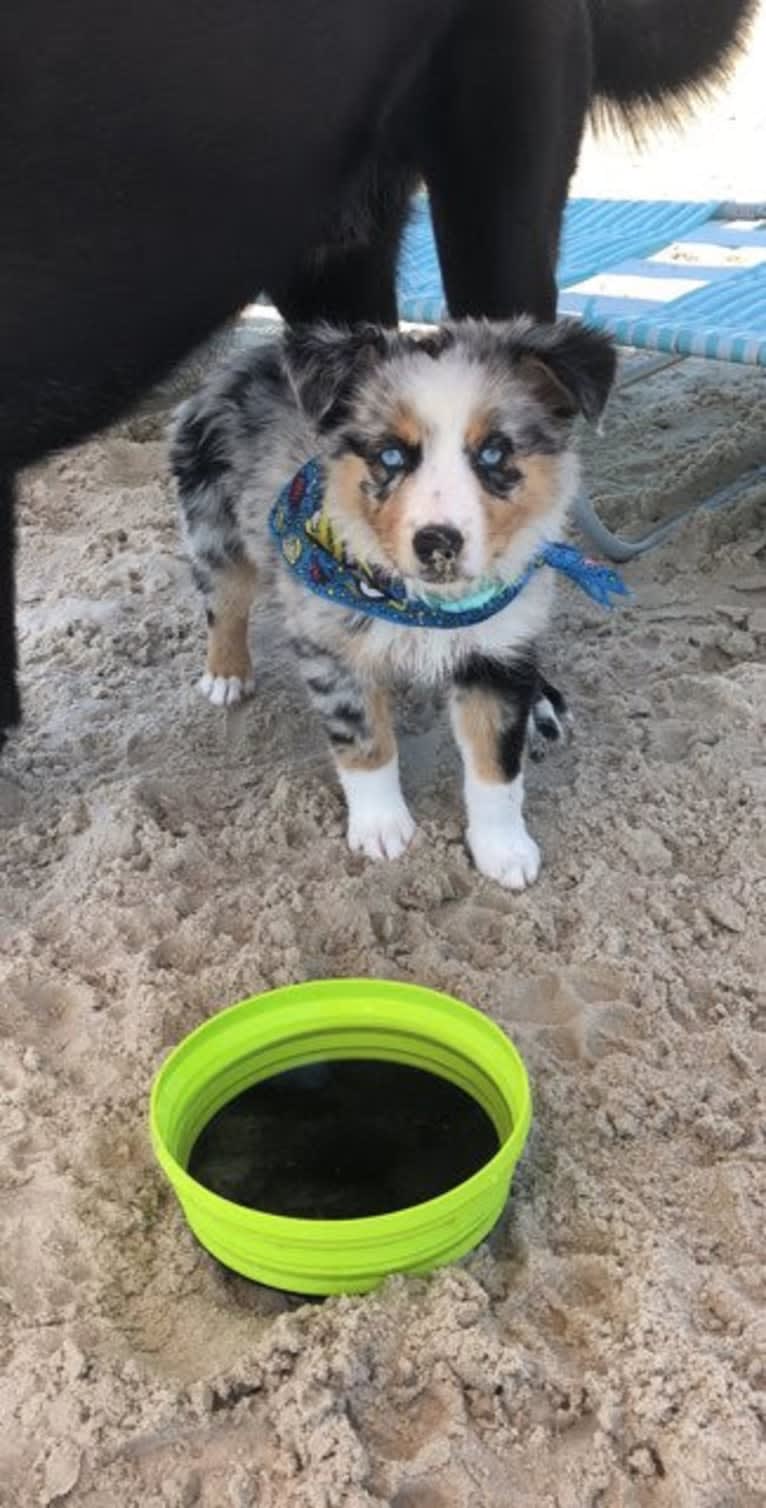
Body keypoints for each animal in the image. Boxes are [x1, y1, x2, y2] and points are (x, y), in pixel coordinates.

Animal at [171, 315, 615, 880]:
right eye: (390, 455)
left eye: (493, 452)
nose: (438, 542)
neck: (425, 606)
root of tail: (245, 358)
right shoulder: (330, 643)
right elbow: (365, 742)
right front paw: (382, 828)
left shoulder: (496, 654)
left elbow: (496, 768)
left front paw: (504, 850)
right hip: (215, 524)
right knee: (224, 602)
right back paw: (226, 673)